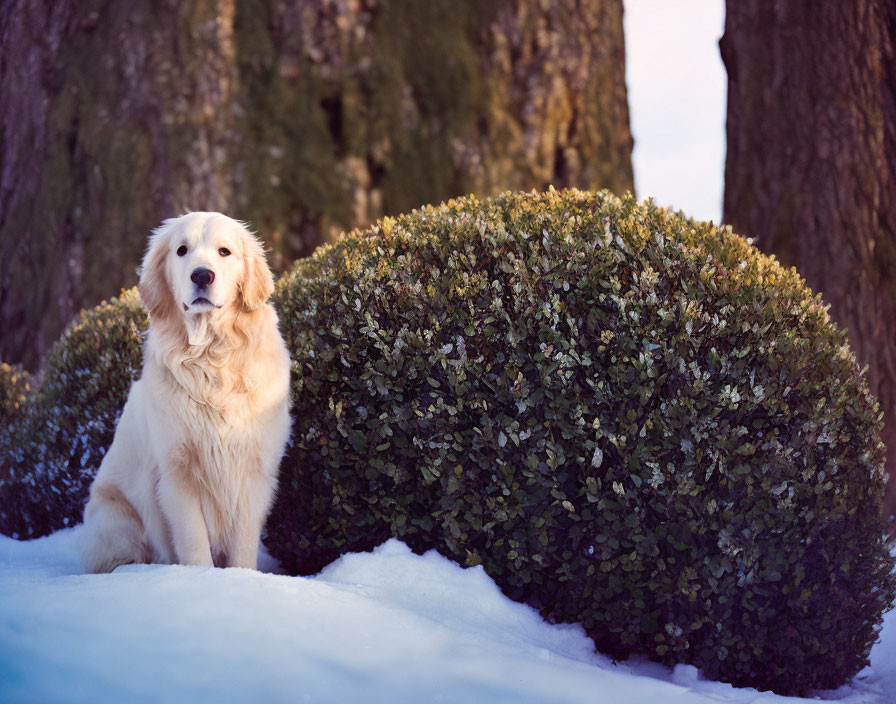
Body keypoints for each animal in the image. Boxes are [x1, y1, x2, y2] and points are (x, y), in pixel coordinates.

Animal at [81, 213, 290, 572]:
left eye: (224, 251)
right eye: (181, 250)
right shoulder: (178, 473)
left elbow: (243, 542)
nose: (202, 275)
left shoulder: (254, 470)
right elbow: (193, 540)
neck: (212, 360)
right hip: (117, 521)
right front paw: (198, 579)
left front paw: (244, 578)